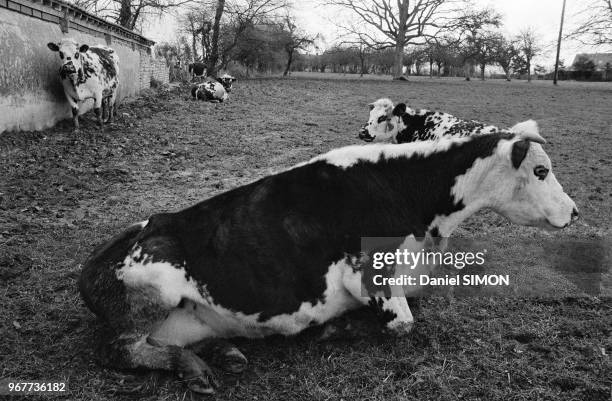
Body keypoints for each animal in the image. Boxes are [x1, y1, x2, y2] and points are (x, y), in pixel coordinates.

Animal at [79, 128, 576, 394]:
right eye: (541, 170)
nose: (574, 212)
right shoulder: (368, 275)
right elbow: (404, 324)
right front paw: (336, 327)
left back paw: (221, 355)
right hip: (153, 289)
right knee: (116, 349)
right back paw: (197, 369)